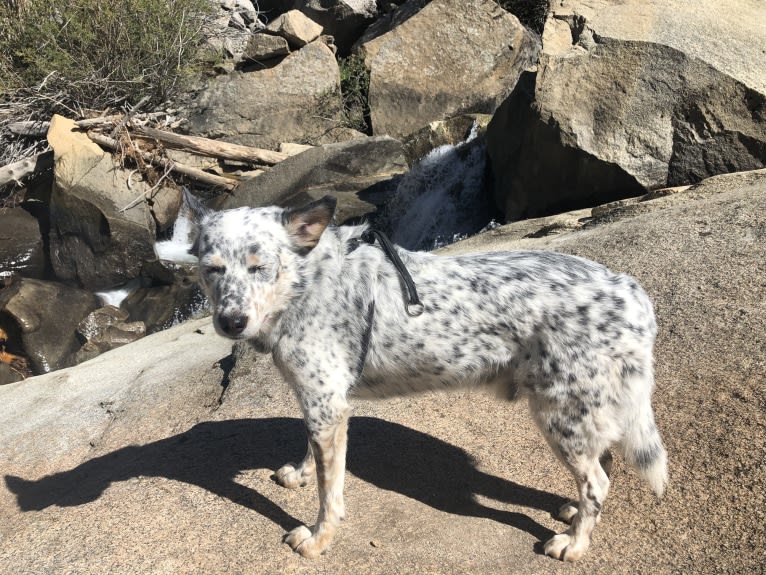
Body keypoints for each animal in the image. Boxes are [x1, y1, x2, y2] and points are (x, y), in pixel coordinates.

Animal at [184, 192, 664, 564]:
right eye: (212, 268)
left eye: (259, 266)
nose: (231, 322)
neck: (307, 282)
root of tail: (630, 290)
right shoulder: (321, 401)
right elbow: (312, 456)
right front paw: (300, 473)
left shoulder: (326, 403)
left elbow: (329, 492)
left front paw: (319, 538)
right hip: (584, 410)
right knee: (602, 464)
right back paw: (573, 510)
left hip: (559, 414)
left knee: (597, 480)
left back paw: (575, 543)